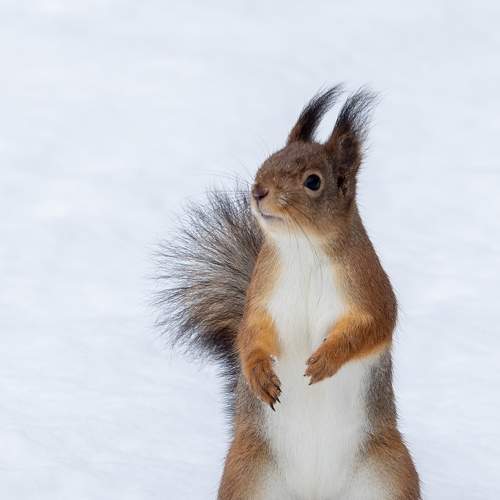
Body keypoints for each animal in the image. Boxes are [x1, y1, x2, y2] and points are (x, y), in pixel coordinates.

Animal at [156, 86, 420, 500]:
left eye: (313, 181)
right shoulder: (263, 298)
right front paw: (259, 374)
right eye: (268, 160)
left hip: (387, 474)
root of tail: (315, 493)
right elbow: (250, 334)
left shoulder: (370, 290)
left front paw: (327, 358)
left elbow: (374, 326)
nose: (258, 191)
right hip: (249, 475)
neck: (302, 248)